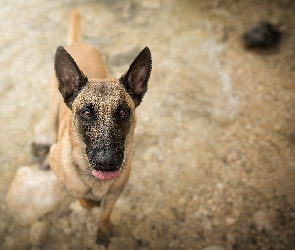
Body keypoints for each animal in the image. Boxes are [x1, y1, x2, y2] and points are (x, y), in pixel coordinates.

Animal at [48, 9, 153, 244]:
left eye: (123, 112)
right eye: (86, 113)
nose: (107, 162)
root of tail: (78, 44)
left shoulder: (115, 194)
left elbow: (105, 214)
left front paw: (103, 233)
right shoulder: (67, 179)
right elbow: (82, 199)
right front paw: (90, 202)